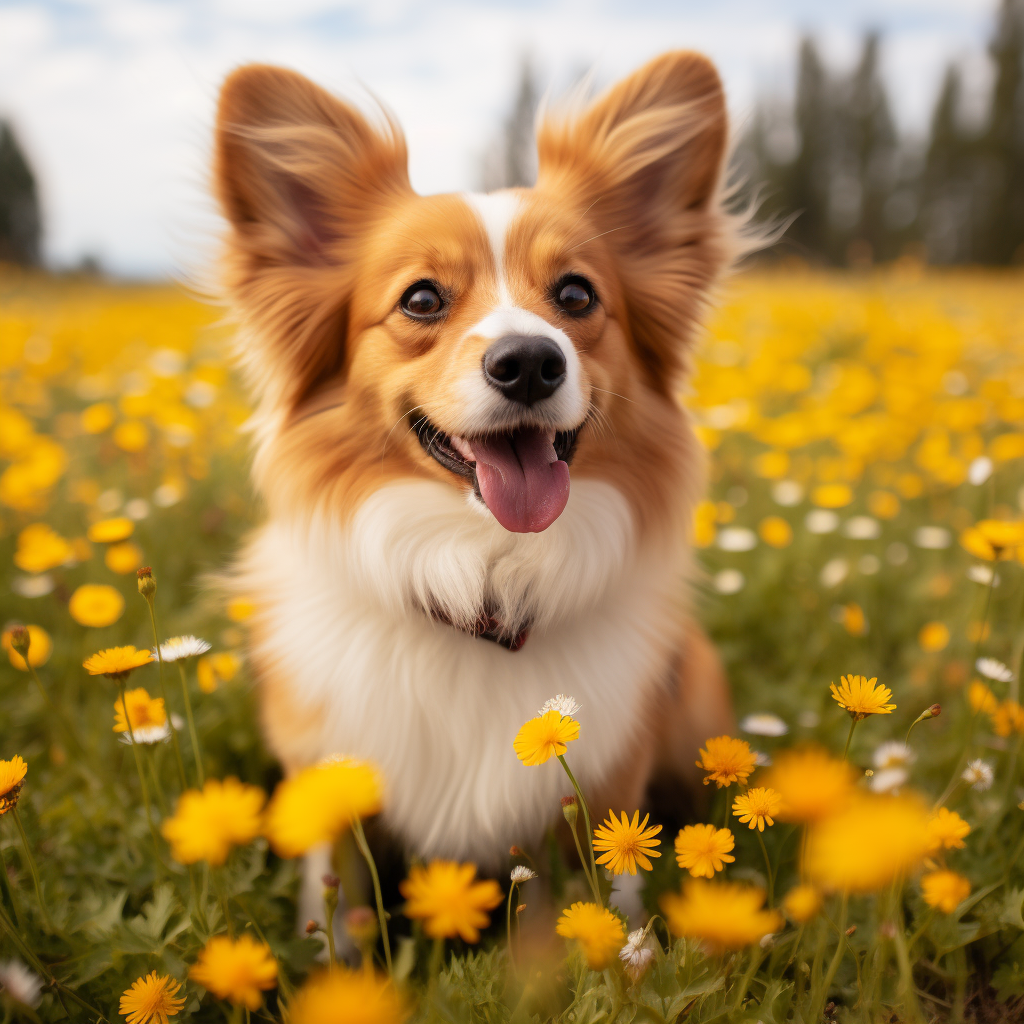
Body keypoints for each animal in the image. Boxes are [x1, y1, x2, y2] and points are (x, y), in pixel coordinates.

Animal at [216, 51, 741, 933]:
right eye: (422, 299)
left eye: (576, 294)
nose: (529, 362)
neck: (481, 572)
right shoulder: (328, 780)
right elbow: (334, 906)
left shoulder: (605, 784)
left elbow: (609, 891)